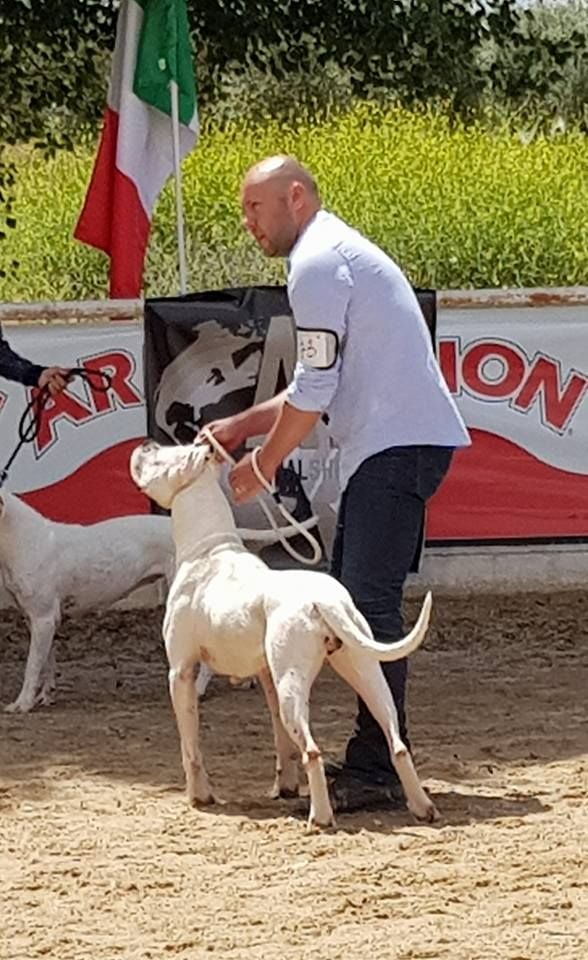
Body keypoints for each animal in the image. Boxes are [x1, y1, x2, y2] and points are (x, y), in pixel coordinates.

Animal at [131, 438, 438, 828]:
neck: (208, 549)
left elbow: (191, 745)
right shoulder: (267, 676)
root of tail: (325, 600)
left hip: (294, 683)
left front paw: (199, 796)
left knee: (313, 750)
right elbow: (281, 741)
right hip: (365, 673)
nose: (146, 443)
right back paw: (422, 806)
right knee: (395, 742)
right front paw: (285, 787)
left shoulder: (180, 673)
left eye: (161, 457)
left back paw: (320, 817)